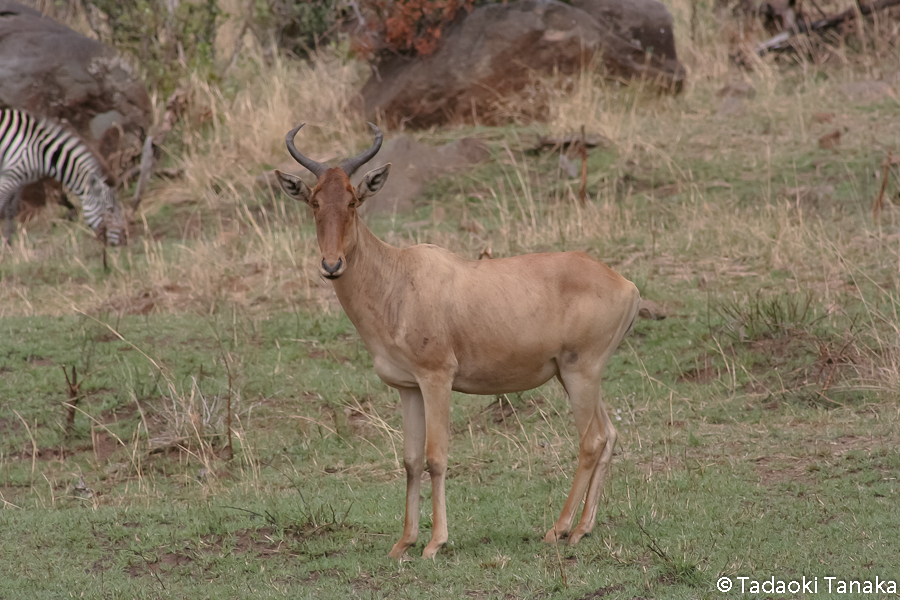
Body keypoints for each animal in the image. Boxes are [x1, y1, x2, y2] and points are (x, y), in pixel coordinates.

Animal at [0, 109, 126, 245]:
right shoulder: (10, 176)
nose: (123, 240)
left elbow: (10, 210)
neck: (42, 154)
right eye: (110, 209)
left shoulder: (18, 182)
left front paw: (8, 244)